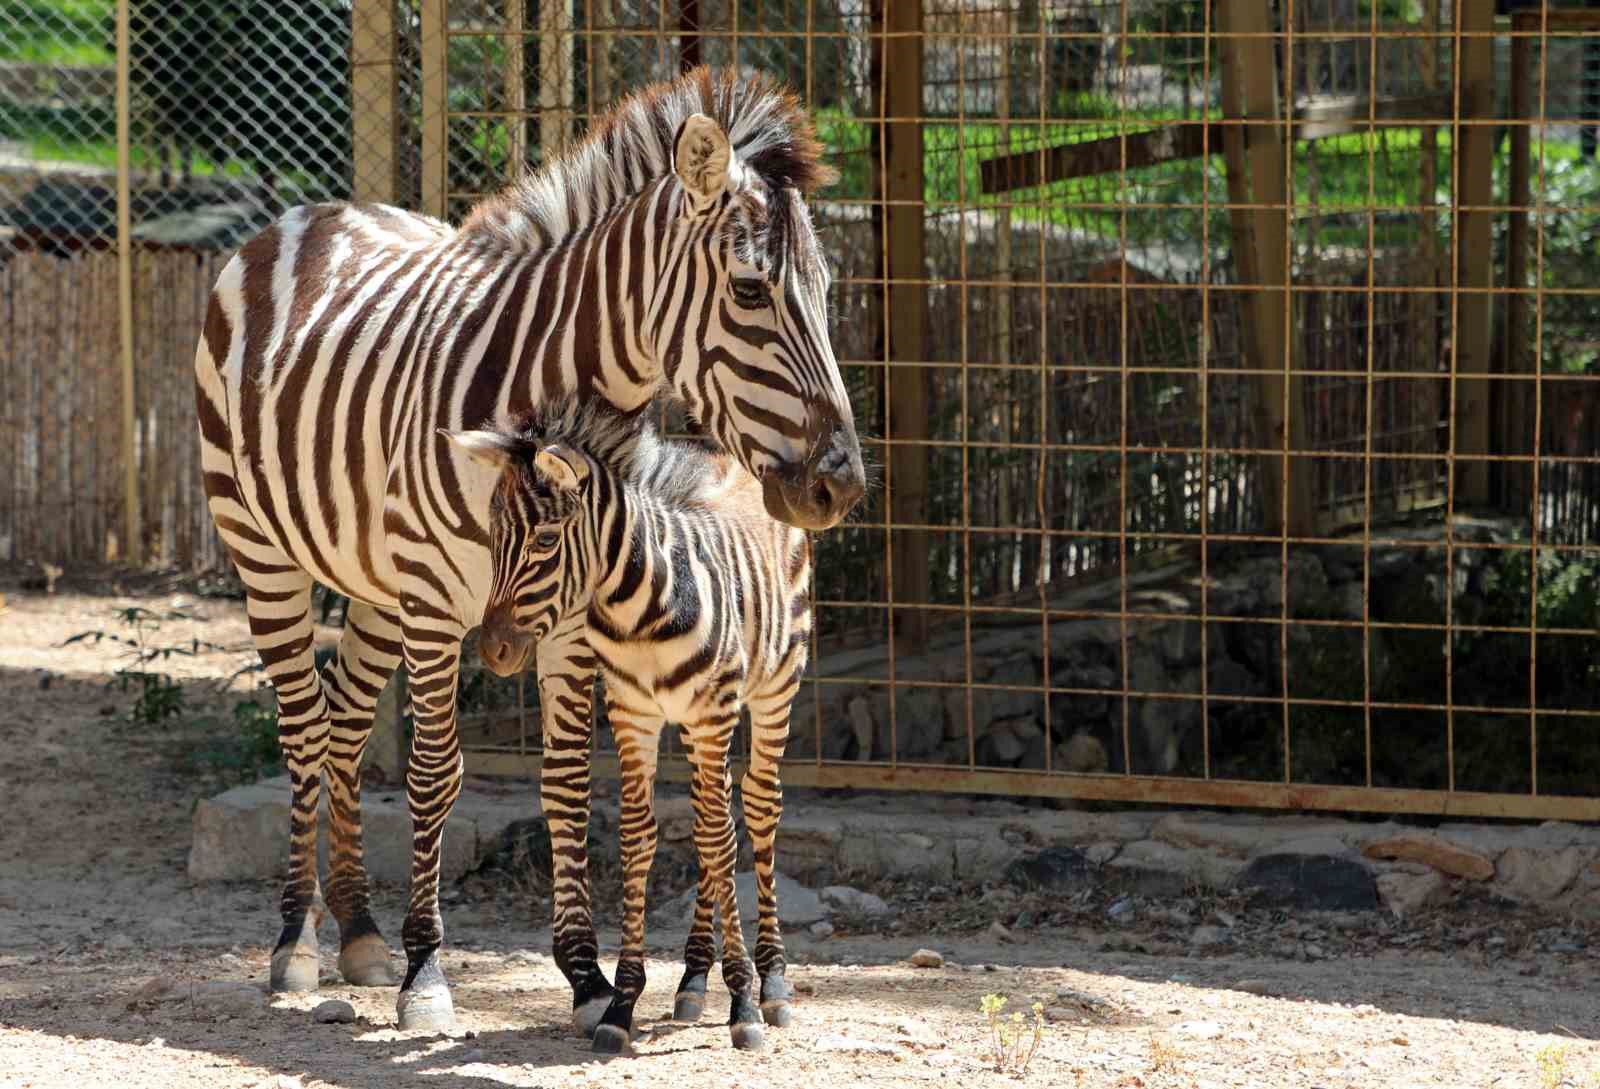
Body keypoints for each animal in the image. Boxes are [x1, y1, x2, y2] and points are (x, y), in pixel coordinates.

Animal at [444, 402, 812, 1049]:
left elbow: (722, 840)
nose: (493, 652)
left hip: (773, 689)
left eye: (545, 541)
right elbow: (643, 838)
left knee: (756, 812)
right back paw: (693, 978)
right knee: (709, 814)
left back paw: (772, 982)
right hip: (694, 723)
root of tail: (738, 460)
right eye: (493, 538)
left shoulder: (712, 711)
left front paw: (743, 1002)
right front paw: (622, 1003)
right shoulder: (632, 713)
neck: (638, 611)